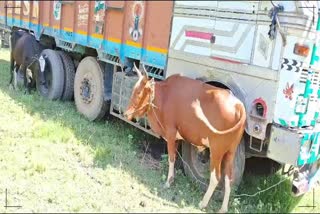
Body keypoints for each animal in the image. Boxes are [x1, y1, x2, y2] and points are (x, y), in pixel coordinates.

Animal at [124, 64, 246, 213]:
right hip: (230, 152)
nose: (126, 113)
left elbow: (171, 158)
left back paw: (203, 203)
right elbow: (174, 158)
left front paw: (168, 182)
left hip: (216, 151)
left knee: (216, 177)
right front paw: (172, 179)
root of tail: (238, 105)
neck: (165, 96)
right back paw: (223, 208)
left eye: (139, 92)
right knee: (229, 178)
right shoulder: (176, 138)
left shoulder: (170, 133)